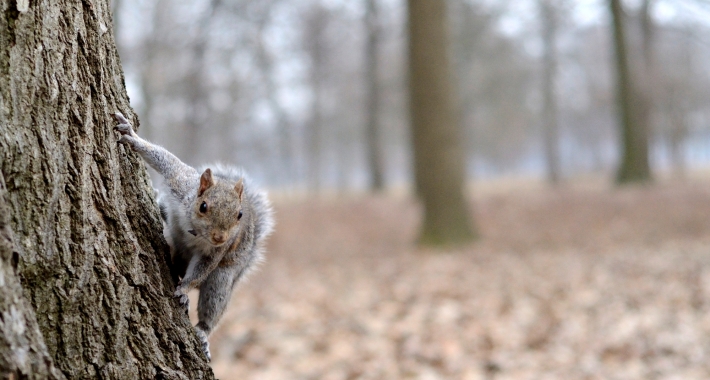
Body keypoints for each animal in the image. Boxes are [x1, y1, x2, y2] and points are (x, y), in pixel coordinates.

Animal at [114, 111, 276, 360]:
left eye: (239, 215)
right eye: (203, 206)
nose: (220, 237)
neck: (195, 231)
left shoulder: (216, 253)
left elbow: (201, 270)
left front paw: (183, 290)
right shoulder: (180, 183)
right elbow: (164, 159)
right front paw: (132, 136)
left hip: (222, 280)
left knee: (212, 306)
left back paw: (202, 332)